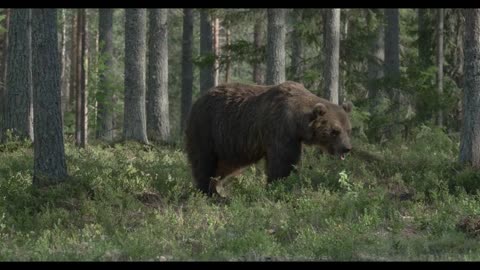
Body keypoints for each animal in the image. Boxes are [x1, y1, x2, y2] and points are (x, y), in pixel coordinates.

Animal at [185, 80, 352, 196]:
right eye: (335, 131)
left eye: (348, 130)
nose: (347, 148)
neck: (297, 121)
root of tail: (197, 100)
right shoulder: (280, 130)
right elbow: (282, 162)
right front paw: (278, 186)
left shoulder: (293, 137)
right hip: (207, 128)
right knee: (203, 161)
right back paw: (208, 192)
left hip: (227, 147)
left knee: (222, 168)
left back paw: (218, 190)